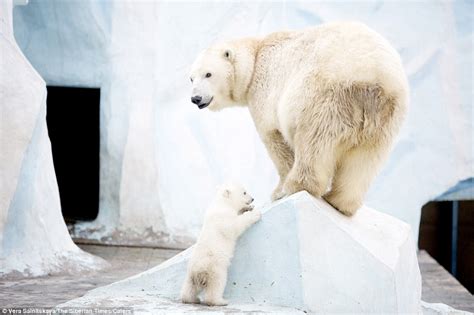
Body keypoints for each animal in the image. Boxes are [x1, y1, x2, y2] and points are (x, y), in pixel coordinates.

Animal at [189, 21, 408, 216]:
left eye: (208, 74)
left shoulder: (264, 89)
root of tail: (375, 78)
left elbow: (274, 139)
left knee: (313, 142)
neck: (255, 57)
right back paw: (340, 202)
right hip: (385, 119)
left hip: (324, 96)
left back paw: (297, 185)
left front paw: (278, 191)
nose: (195, 98)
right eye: (191, 78)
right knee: (364, 161)